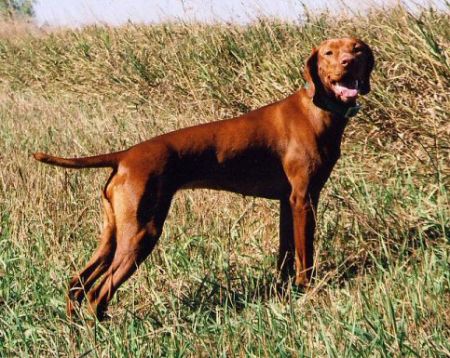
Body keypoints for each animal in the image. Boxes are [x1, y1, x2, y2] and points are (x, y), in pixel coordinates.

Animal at [33, 37, 374, 318]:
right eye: (329, 53)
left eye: (357, 48)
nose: (348, 62)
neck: (316, 108)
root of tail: (125, 155)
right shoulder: (305, 199)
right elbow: (306, 255)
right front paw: (308, 289)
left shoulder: (287, 202)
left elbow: (286, 255)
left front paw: (284, 291)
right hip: (142, 234)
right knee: (98, 293)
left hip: (114, 235)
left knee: (77, 284)